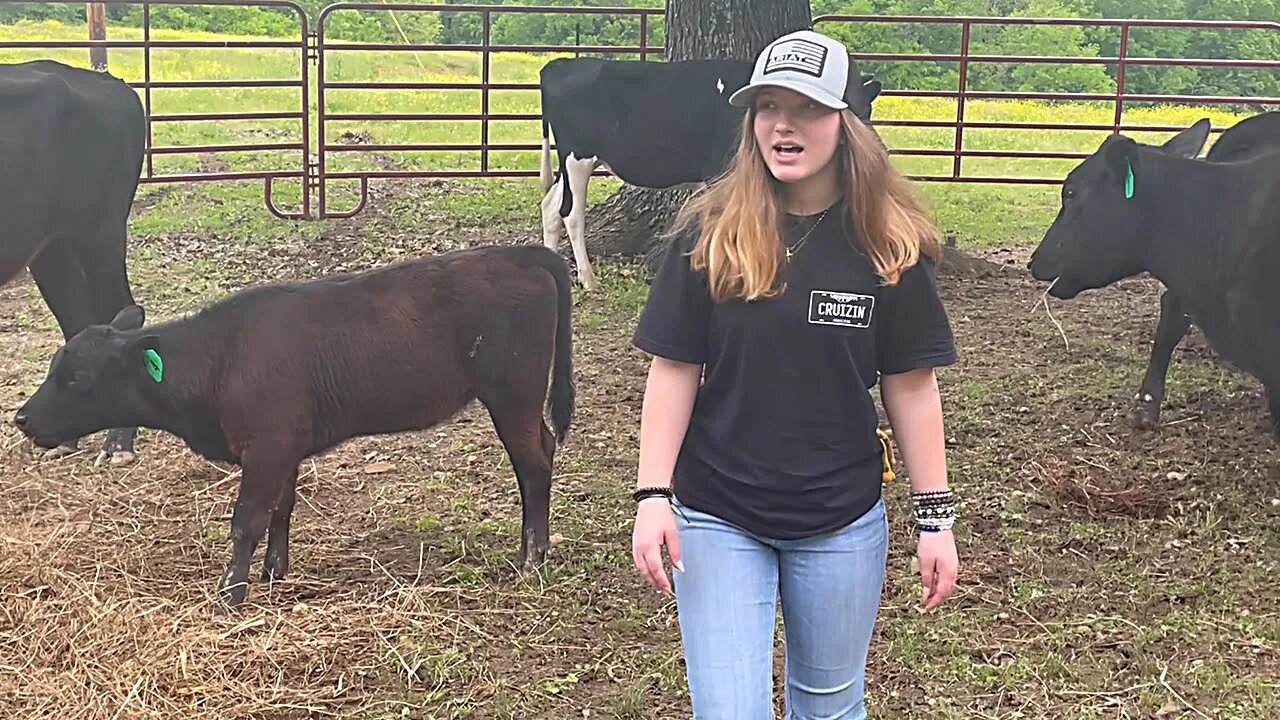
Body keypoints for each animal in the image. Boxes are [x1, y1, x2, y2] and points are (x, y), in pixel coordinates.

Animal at [1, 60, 145, 466]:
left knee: (119, 312)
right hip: (52, 247)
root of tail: (110, 81)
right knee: (77, 323)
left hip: (100, 234)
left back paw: (118, 442)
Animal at [12, 243, 576, 607]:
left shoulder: (266, 448)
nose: (21, 417)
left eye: (78, 377)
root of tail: (517, 255)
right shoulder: (282, 448)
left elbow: (246, 520)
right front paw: (272, 574)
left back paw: (532, 557)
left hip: (514, 397)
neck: (221, 359)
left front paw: (231, 595)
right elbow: (280, 510)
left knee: (533, 464)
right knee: (544, 451)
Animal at [532, 56, 880, 286]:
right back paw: (588, 279)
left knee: (550, 206)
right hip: (578, 156)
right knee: (570, 213)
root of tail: (559, 65)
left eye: (866, 108)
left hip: (572, 162)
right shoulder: (718, 169)